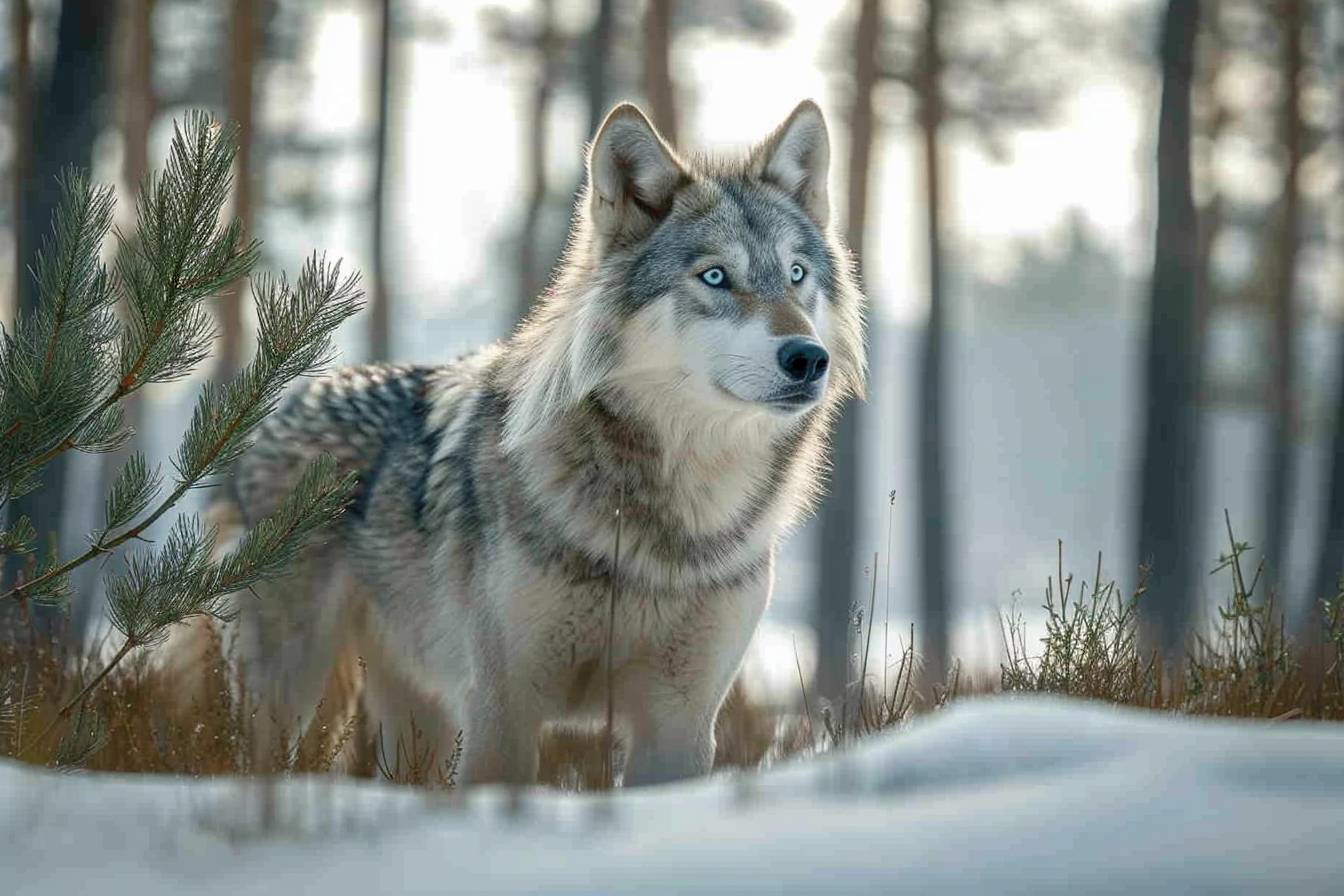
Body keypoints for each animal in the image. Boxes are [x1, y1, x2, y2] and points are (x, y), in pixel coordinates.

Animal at [207, 100, 865, 785]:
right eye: (715, 276)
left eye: (797, 274)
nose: (807, 358)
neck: (677, 524)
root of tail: (282, 409)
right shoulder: (504, 708)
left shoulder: (680, 723)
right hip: (290, 697)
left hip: (417, 718)